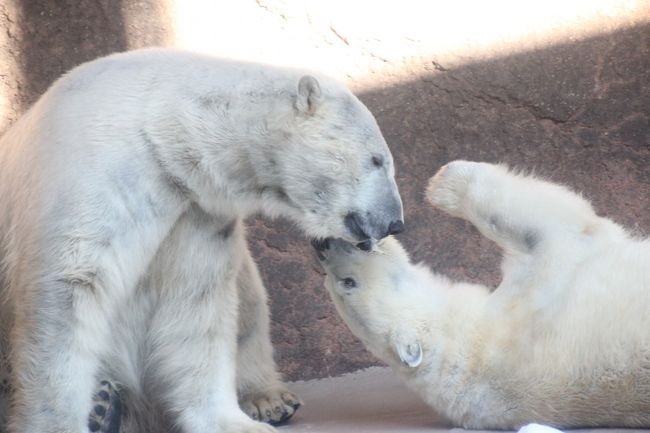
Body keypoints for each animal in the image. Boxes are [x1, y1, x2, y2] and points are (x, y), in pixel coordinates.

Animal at [0, 49, 404, 432]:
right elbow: (68, 293)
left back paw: (270, 400)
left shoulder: (196, 211)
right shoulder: (95, 177)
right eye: (377, 160)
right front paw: (60, 423)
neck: (161, 134)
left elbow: (195, 302)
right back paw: (102, 406)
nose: (395, 221)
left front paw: (235, 424)